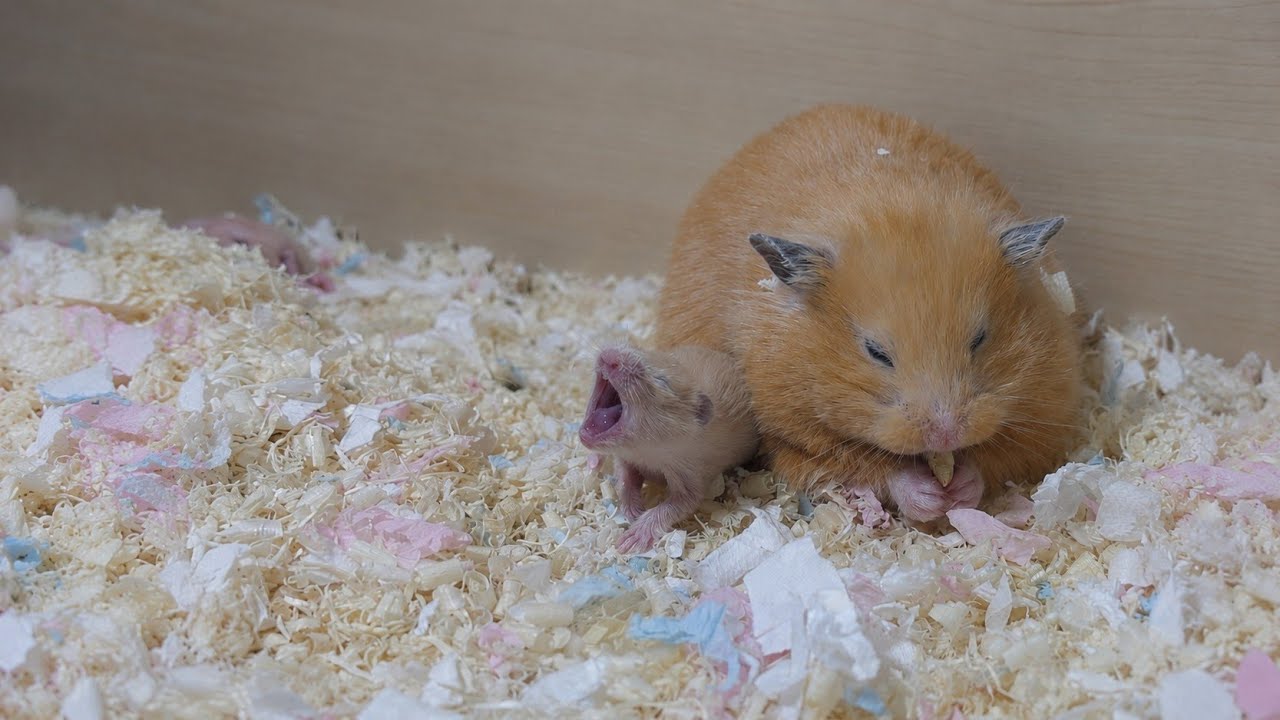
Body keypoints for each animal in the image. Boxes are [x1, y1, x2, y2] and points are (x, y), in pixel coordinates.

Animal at [578, 343, 759, 552]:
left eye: (662, 382)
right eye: (639, 349)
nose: (609, 356)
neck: (646, 450)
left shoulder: (688, 476)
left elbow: (674, 505)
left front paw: (630, 539)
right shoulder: (625, 457)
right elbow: (625, 480)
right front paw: (633, 511)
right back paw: (593, 462)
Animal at [655, 104, 1084, 523]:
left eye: (979, 339)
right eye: (876, 352)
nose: (946, 435)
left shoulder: (1049, 414)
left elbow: (1004, 454)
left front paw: (960, 488)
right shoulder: (794, 436)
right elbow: (866, 466)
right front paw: (927, 496)